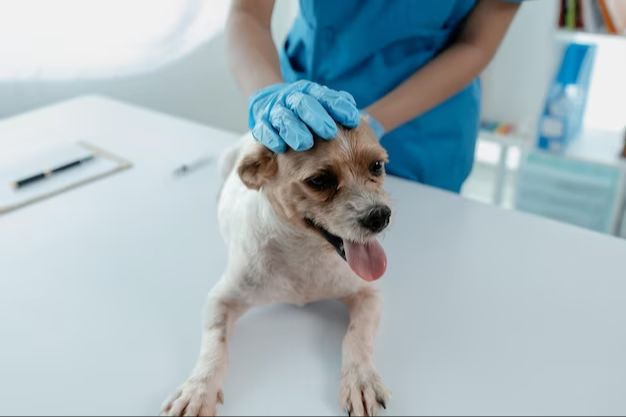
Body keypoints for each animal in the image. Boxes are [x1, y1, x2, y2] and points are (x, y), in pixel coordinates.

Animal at [163, 120, 392, 416]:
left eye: (376, 166)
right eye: (319, 181)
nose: (380, 216)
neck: (304, 252)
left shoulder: (368, 294)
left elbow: (356, 337)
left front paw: (361, 379)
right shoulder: (220, 299)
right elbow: (214, 346)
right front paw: (198, 390)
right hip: (225, 162)